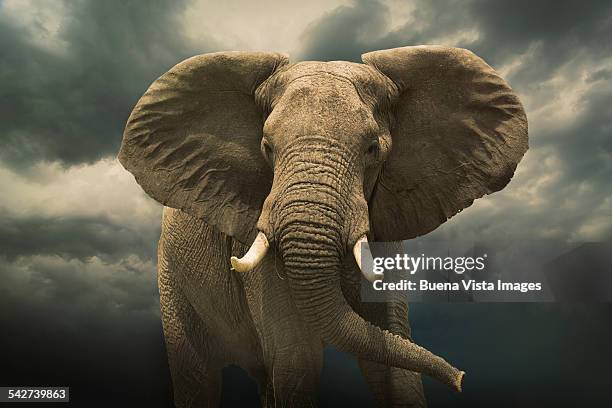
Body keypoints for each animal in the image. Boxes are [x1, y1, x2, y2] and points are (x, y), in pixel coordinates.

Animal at [118, 45, 524, 408]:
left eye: (373, 149)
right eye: (266, 147)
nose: (461, 379)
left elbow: (393, 363)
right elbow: (298, 360)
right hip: (171, 278)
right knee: (198, 378)